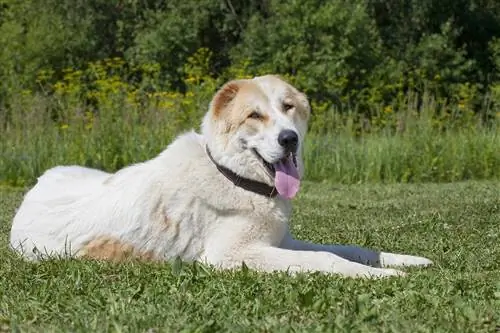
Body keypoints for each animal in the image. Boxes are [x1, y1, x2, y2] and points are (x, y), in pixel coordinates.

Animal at [7, 74, 432, 278]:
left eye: (288, 108)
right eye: (254, 116)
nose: (289, 139)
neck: (234, 177)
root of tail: (33, 190)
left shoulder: (281, 242)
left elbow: (350, 248)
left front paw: (405, 260)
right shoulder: (234, 255)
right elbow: (328, 260)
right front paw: (385, 276)